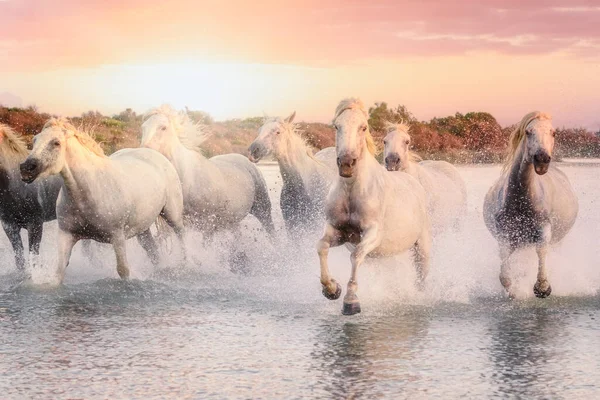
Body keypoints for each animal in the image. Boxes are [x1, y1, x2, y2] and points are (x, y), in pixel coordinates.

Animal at [20, 117, 185, 282]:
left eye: (56, 143)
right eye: (35, 140)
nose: (26, 168)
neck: (89, 190)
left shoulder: (117, 237)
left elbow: (123, 270)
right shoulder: (66, 235)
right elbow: (59, 272)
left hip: (172, 216)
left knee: (181, 235)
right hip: (143, 227)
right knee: (152, 249)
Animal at [141, 104, 274, 239]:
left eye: (163, 127)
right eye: (143, 128)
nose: (144, 151)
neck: (187, 179)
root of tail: (247, 161)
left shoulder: (207, 226)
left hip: (263, 210)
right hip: (232, 222)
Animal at [318, 98, 432, 314]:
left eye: (363, 127)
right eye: (337, 126)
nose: (346, 164)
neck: (352, 191)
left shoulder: (373, 233)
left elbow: (356, 256)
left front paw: (351, 301)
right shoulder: (337, 231)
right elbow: (322, 247)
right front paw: (332, 289)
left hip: (421, 245)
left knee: (422, 275)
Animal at [482, 111, 576, 298]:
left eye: (553, 133)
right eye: (528, 132)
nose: (542, 160)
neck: (522, 200)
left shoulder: (543, 227)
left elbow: (541, 250)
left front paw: (542, 288)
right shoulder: (505, 232)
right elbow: (505, 266)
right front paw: (512, 290)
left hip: (557, 240)